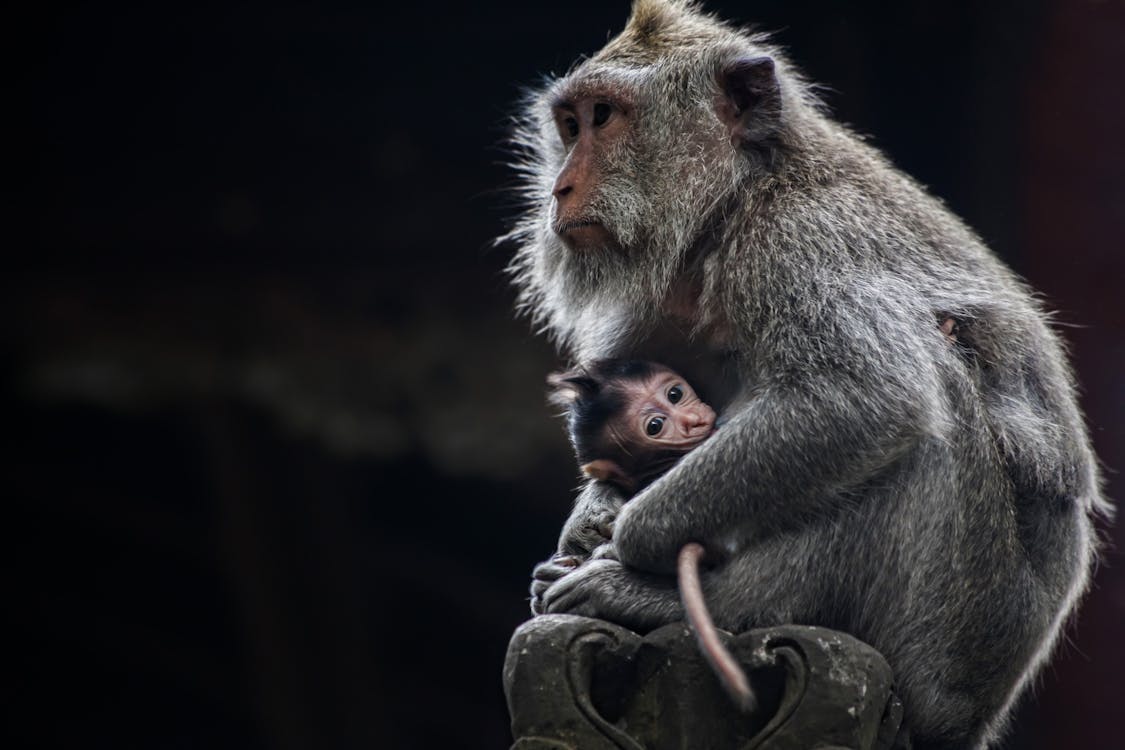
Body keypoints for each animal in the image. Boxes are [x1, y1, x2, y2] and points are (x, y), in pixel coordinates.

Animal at [502, 2, 1108, 748]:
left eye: (604, 117)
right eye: (569, 124)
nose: (560, 188)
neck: (738, 198)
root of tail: (978, 713)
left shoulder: (799, 239)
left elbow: (866, 400)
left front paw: (627, 539)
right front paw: (590, 519)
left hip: (955, 635)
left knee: (929, 412)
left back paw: (690, 603)